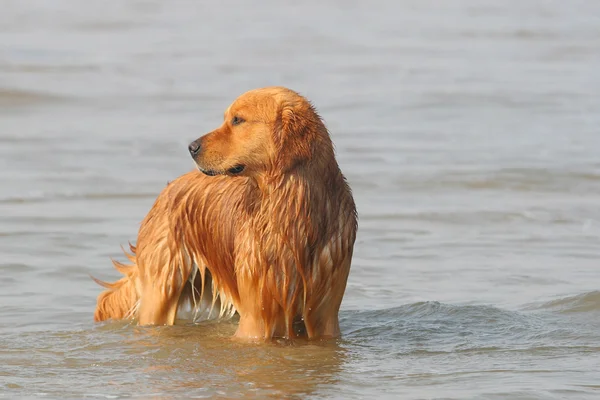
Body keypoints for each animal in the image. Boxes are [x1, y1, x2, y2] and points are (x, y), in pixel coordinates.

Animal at [93, 86, 356, 340]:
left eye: (237, 120)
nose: (191, 147)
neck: (291, 205)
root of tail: (168, 188)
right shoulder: (257, 314)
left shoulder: (325, 313)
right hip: (161, 288)